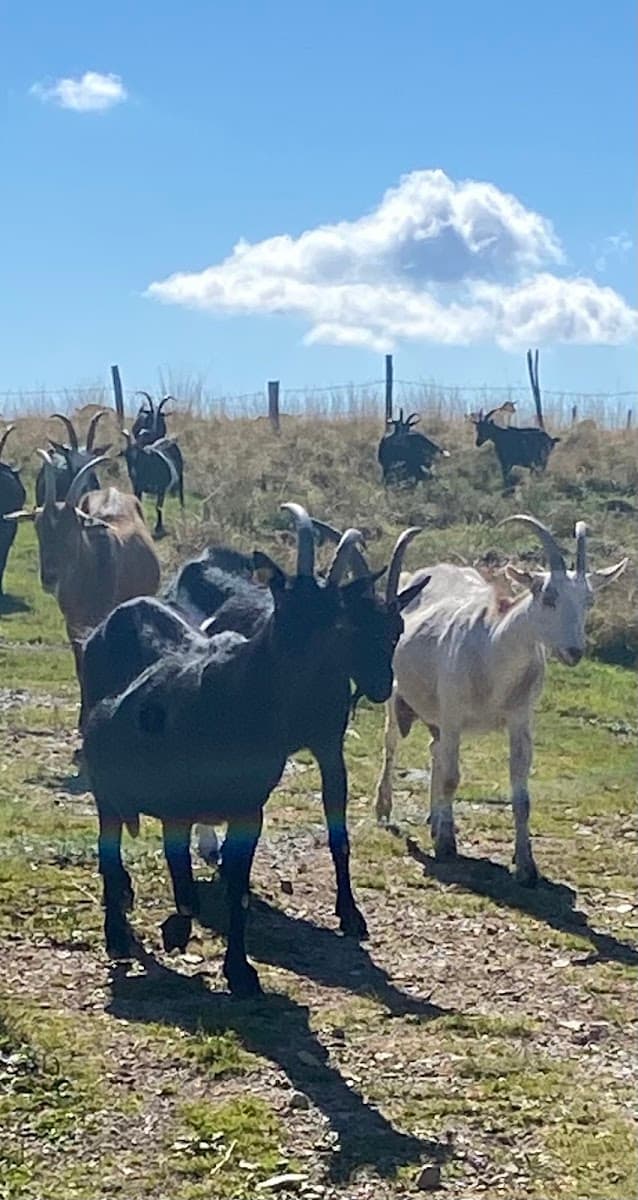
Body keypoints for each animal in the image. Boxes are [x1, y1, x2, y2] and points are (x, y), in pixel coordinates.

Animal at [81, 506, 428, 996]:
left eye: (397, 628)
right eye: (285, 603)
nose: (381, 687)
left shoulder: (290, 774)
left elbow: (248, 880)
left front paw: (244, 967)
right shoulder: (179, 799)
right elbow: (186, 877)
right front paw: (179, 929)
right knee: (109, 840)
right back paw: (118, 928)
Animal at [374, 515, 627, 885]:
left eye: (589, 600)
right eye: (548, 596)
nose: (574, 651)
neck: (492, 651)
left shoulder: (520, 720)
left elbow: (521, 797)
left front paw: (526, 866)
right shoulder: (453, 714)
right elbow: (452, 777)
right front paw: (447, 845)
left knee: (435, 750)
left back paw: (435, 819)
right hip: (399, 695)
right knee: (392, 743)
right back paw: (385, 809)